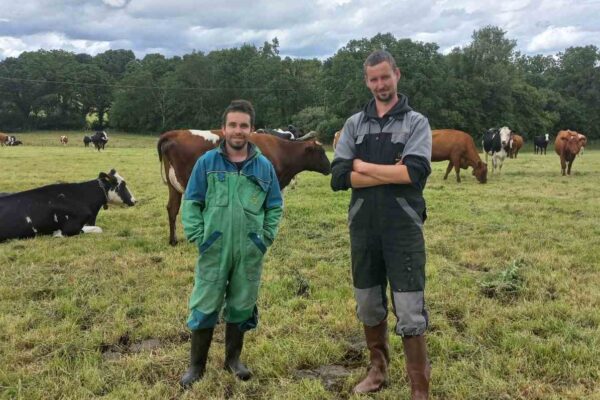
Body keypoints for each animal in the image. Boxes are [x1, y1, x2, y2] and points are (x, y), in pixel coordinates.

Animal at [157, 130, 330, 245]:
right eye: (321, 152)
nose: (330, 167)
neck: (281, 151)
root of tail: (173, 133)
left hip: (173, 187)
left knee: (172, 208)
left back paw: (173, 240)